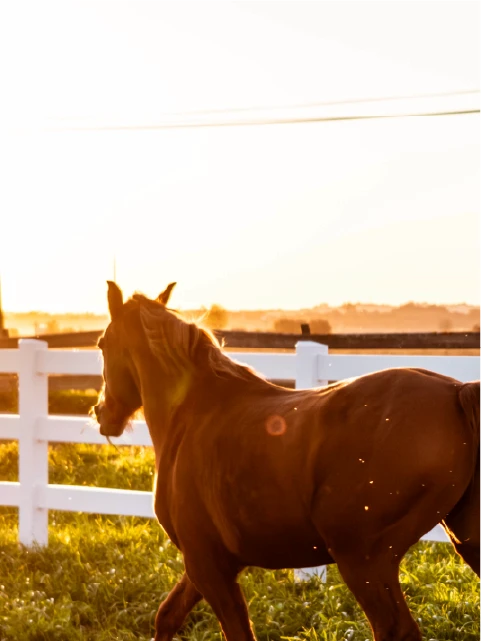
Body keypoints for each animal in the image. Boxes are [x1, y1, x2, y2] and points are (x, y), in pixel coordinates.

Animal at [94, 281, 480, 641]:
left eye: (100, 343)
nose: (102, 413)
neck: (193, 413)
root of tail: (457, 391)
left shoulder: (207, 565)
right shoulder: (207, 560)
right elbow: (167, 614)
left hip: (364, 560)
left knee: (394, 629)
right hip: (462, 544)